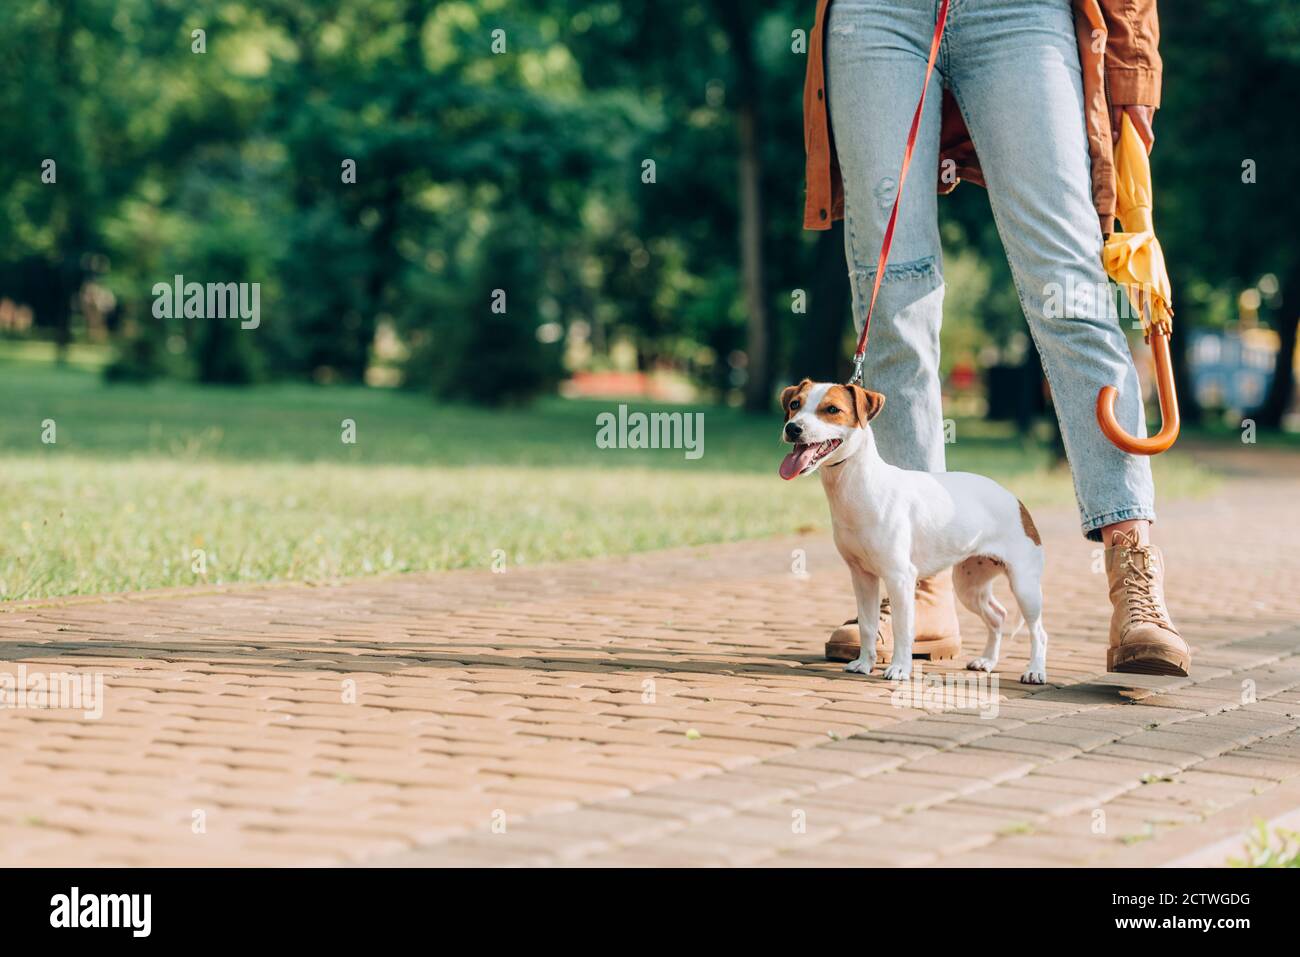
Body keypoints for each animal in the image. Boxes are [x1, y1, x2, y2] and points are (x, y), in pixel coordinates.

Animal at [780, 377, 1045, 686]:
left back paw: (1035, 670)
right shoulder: (862, 576)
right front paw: (864, 663)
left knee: (1039, 632)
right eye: (795, 404)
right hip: (970, 585)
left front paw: (900, 669)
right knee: (997, 616)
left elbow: (902, 628)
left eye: (832, 409)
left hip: (1025, 586)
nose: (793, 428)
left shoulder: (899, 577)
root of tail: (1015, 499)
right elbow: (868, 625)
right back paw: (987, 661)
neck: (859, 485)